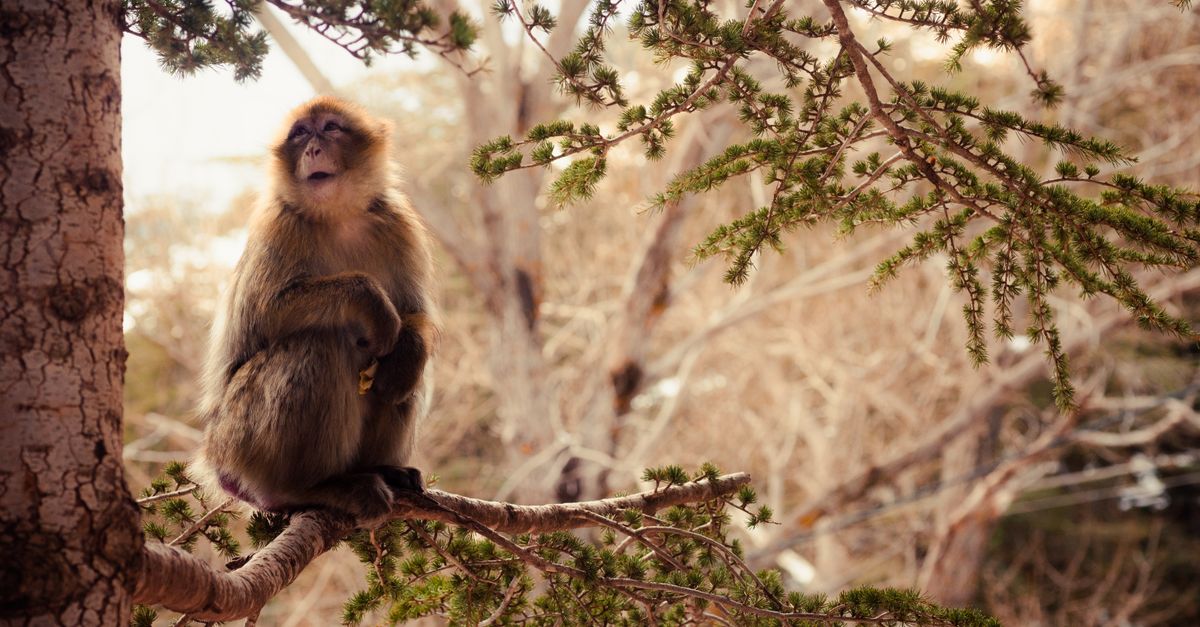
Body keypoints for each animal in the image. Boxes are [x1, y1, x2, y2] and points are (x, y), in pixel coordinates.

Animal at [196, 96, 438, 520]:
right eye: (300, 134)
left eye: (330, 128)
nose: (312, 149)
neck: (338, 215)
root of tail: (219, 464)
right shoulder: (279, 225)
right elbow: (266, 312)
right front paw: (369, 299)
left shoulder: (399, 224)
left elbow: (415, 312)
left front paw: (408, 347)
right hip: (238, 438)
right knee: (318, 343)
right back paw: (310, 488)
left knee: (408, 375)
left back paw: (383, 466)